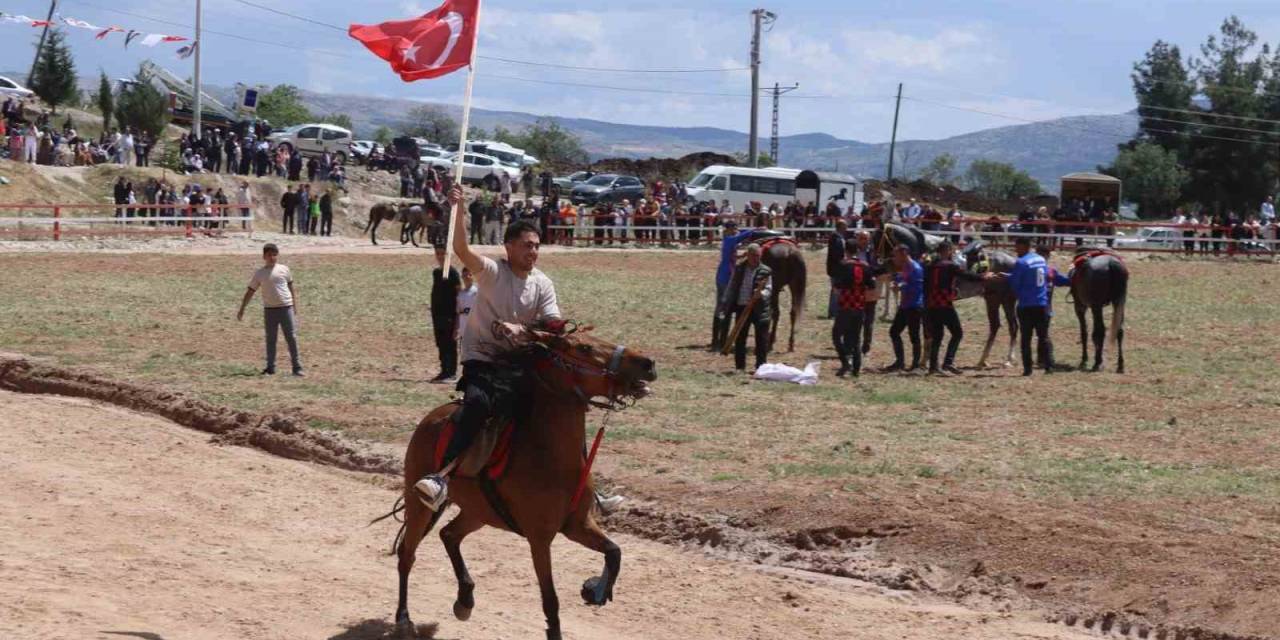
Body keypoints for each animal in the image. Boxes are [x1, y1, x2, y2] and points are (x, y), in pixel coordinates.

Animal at [386, 325, 650, 640]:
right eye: (584, 348)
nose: (647, 363)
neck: (551, 456)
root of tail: (431, 418)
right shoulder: (540, 538)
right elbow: (550, 600)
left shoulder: (578, 525)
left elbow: (614, 551)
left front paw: (594, 589)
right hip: (420, 504)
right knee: (407, 554)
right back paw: (404, 619)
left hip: (479, 512)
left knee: (449, 534)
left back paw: (465, 599)